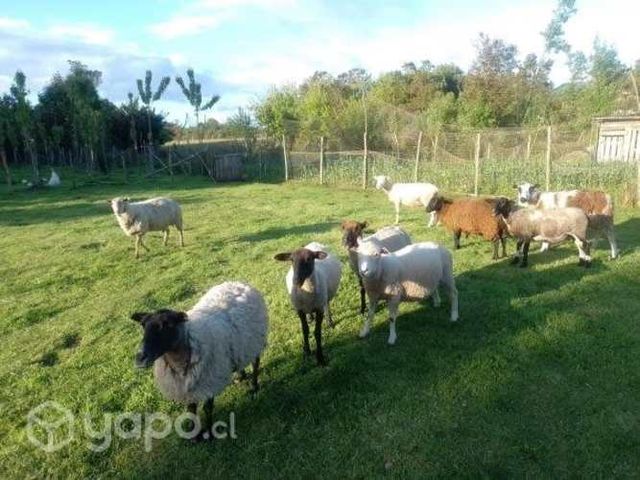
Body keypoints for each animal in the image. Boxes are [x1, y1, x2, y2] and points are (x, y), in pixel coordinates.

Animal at [131, 281, 268, 442]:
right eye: (143, 325)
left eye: (167, 325)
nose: (140, 357)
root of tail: (238, 283)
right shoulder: (187, 386)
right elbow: (191, 409)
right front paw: (193, 434)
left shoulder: (209, 380)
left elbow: (207, 408)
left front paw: (209, 433)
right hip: (240, 345)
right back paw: (240, 376)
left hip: (255, 341)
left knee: (255, 363)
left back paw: (254, 387)